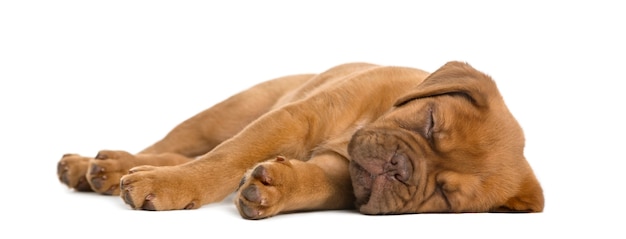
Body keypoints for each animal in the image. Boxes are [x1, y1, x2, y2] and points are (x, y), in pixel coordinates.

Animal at [56, 61, 540, 218]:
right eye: (431, 122)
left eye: (444, 195)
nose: (400, 168)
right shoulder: (292, 119)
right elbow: (225, 158)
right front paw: (172, 185)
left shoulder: (343, 174)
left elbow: (317, 183)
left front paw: (275, 189)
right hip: (226, 113)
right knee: (174, 146)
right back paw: (102, 166)